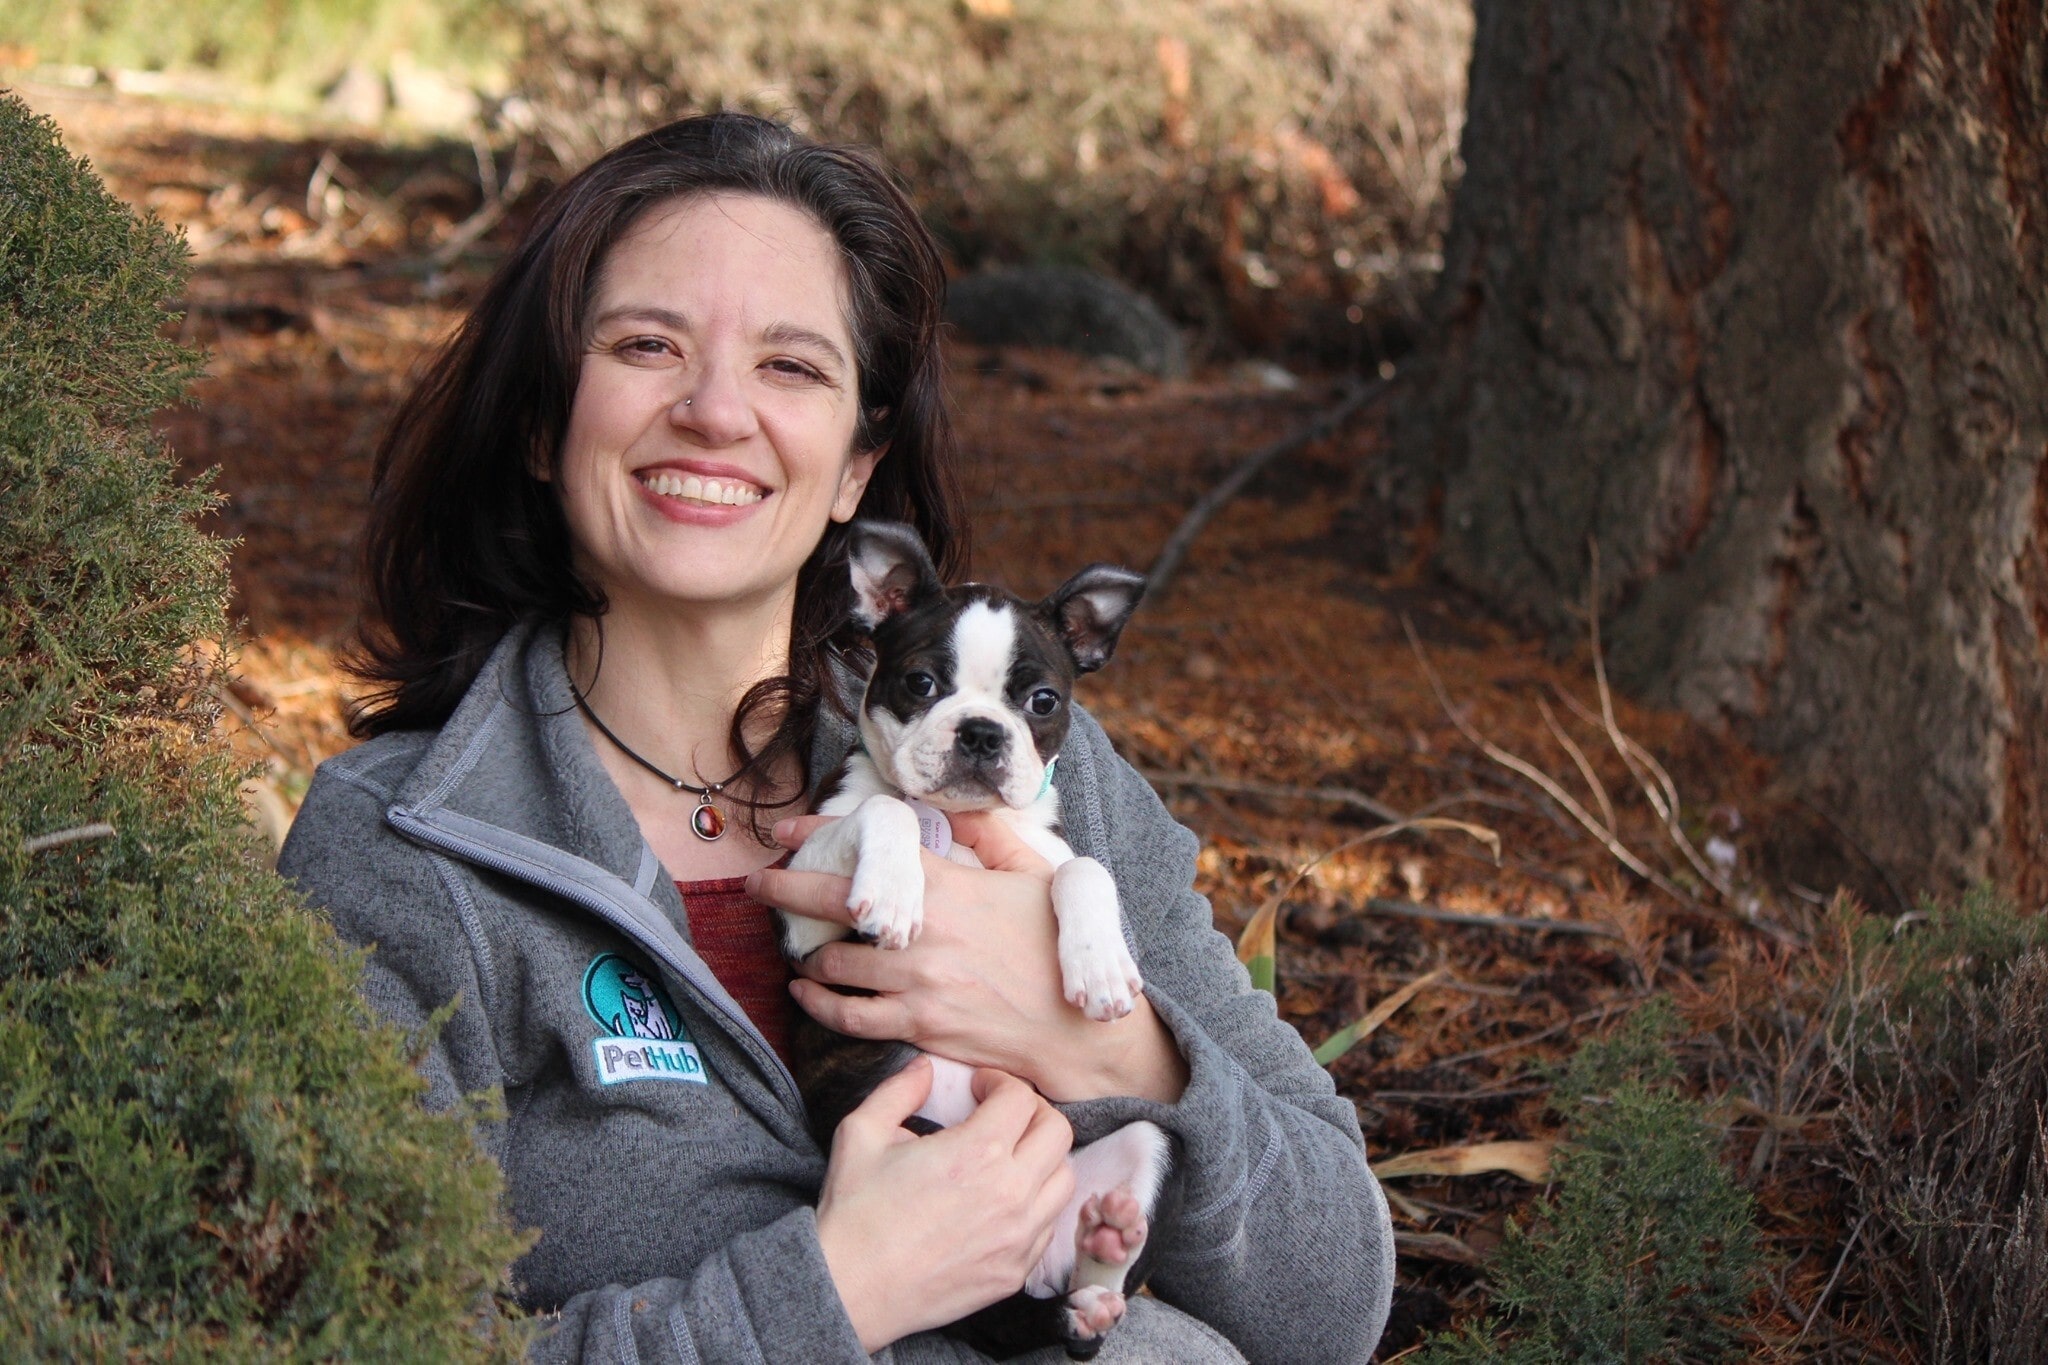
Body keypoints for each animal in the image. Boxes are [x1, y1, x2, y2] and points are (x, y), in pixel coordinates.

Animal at [778, 519, 1179, 1358]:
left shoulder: (1044, 851)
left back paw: (1104, 1257)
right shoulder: (799, 901)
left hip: (1148, 1143)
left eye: (1042, 700)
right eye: (921, 683)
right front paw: (896, 888)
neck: (956, 822)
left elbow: (1087, 867)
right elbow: (886, 809)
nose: (982, 731)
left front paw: (1100, 967)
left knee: (1085, 1304)